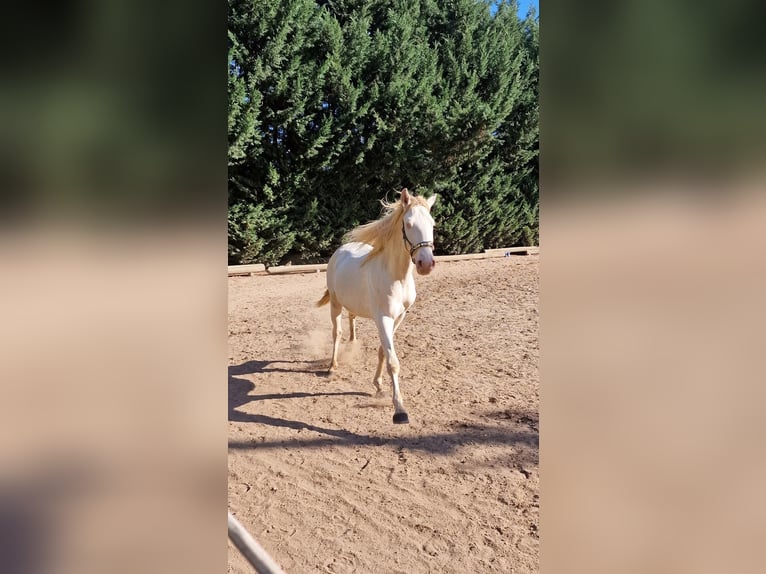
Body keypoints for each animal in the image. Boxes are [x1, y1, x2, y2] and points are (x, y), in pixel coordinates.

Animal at [316, 191, 438, 426]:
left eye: (432, 224)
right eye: (408, 224)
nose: (426, 264)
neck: (395, 276)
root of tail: (341, 251)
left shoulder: (399, 317)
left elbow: (383, 351)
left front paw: (379, 385)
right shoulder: (383, 318)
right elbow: (393, 361)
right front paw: (399, 410)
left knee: (352, 319)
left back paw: (353, 344)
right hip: (335, 303)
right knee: (337, 333)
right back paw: (332, 366)